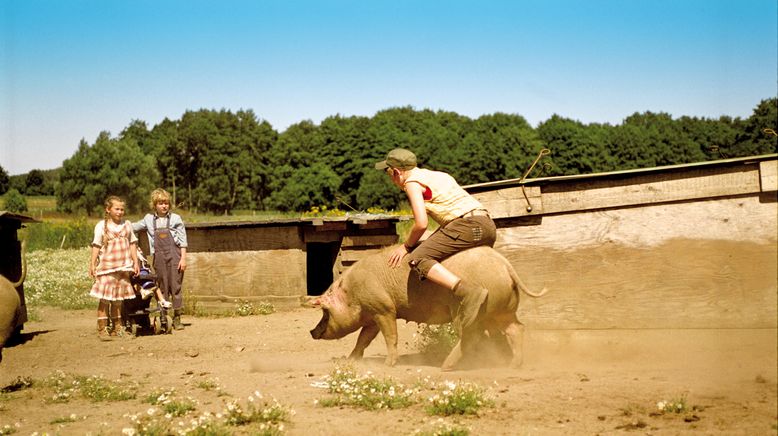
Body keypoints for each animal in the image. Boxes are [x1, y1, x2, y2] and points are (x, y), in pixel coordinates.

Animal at [306, 244, 544, 370]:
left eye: (325, 312)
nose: (311, 331)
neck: (351, 293)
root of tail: (505, 265)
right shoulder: (373, 315)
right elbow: (363, 339)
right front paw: (351, 359)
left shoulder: (384, 309)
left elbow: (390, 336)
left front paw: (388, 365)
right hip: (501, 311)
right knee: (516, 329)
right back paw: (512, 365)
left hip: (467, 312)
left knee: (473, 335)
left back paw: (446, 366)